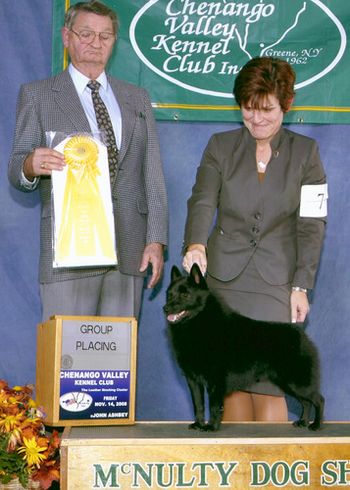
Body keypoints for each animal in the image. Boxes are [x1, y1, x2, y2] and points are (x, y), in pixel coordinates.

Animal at [163, 264, 324, 432]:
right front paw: (198, 424)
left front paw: (211, 427)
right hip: (288, 383)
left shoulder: (215, 379)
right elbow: (198, 404)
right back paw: (303, 422)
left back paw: (316, 425)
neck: (200, 323)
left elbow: (214, 406)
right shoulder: (193, 379)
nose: (165, 308)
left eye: (185, 295)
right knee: (306, 402)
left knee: (318, 400)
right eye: (169, 294)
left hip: (297, 382)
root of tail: (300, 333)